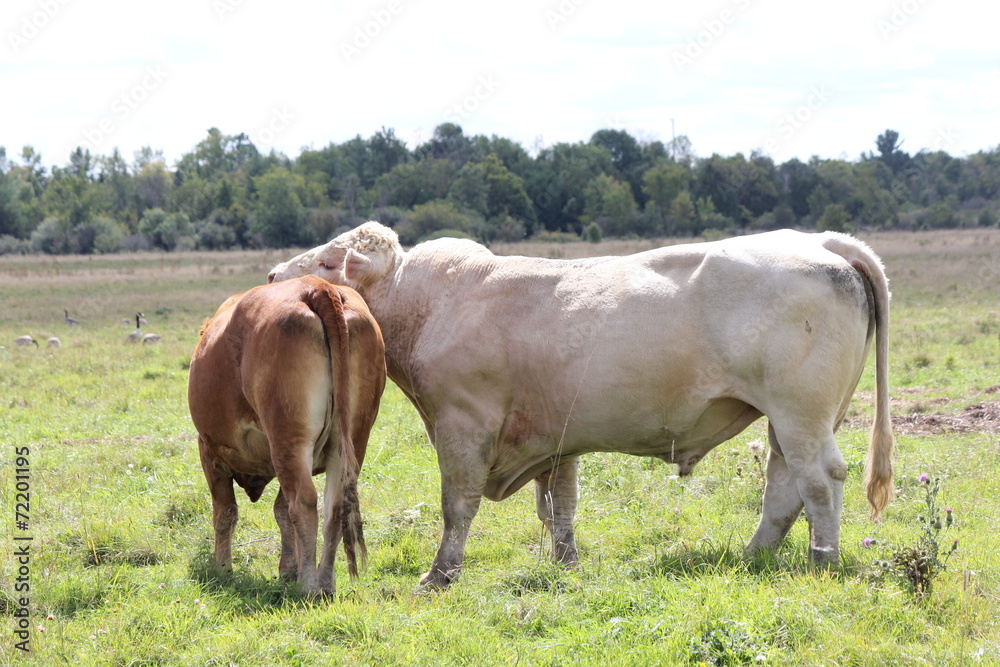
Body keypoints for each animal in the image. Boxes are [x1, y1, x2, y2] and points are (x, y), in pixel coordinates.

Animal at [188, 274, 386, 596]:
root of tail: (317, 286)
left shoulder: (210, 451)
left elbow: (226, 513)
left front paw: (222, 569)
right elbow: (280, 511)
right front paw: (287, 568)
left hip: (289, 440)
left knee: (303, 503)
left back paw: (308, 584)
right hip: (350, 440)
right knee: (333, 505)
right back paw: (325, 581)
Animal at [270, 224, 896, 588]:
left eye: (328, 261)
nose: (274, 273)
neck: (427, 302)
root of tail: (819, 241)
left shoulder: (461, 425)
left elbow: (457, 506)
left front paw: (440, 575)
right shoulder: (557, 435)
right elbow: (561, 508)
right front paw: (566, 564)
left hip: (800, 414)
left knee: (818, 482)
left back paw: (823, 559)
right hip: (789, 421)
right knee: (784, 487)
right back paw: (752, 556)